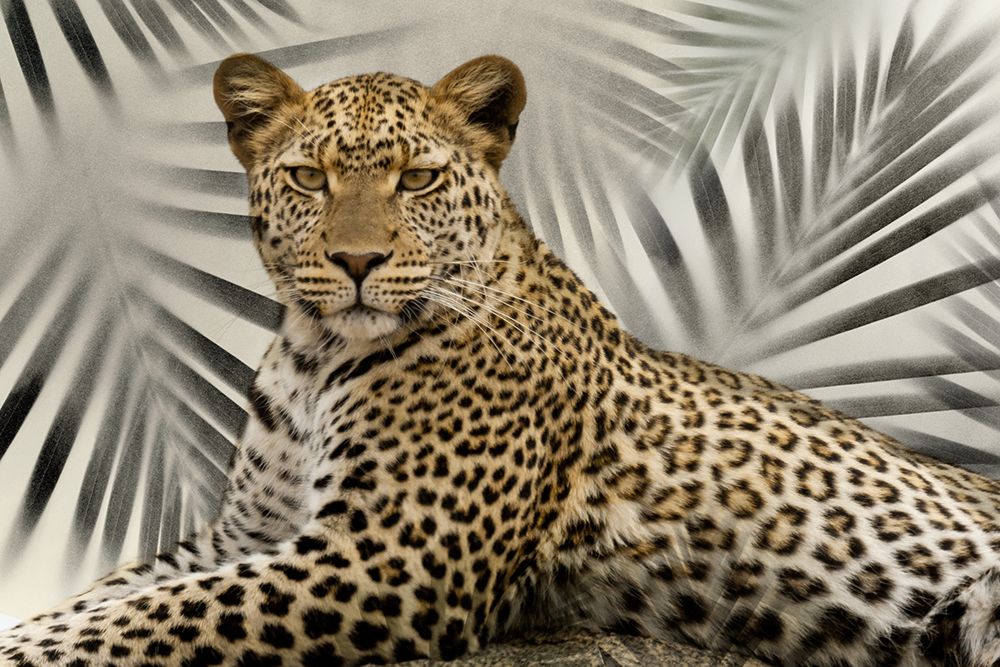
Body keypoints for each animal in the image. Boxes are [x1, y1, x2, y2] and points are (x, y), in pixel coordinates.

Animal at [2, 52, 1000, 667]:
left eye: (417, 178)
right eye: (309, 178)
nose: (355, 261)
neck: (316, 355)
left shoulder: (390, 557)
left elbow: (153, 616)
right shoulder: (245, 532)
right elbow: (112, 594)